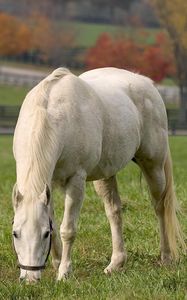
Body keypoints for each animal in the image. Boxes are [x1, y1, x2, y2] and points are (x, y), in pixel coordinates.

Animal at [12, 67, 185, 282]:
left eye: (44, 234)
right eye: (15, 233)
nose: (29, 278)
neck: (53, 114)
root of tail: (147, 83)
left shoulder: (76, 181)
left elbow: (67, 229)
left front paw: (64, 273)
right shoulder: (48, 184)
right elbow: (55, 223)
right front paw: (57, 263)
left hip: (154, 166)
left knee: (160, 207)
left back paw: (166, 256)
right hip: (106, 175)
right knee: (114, 212)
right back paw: (116, 264)